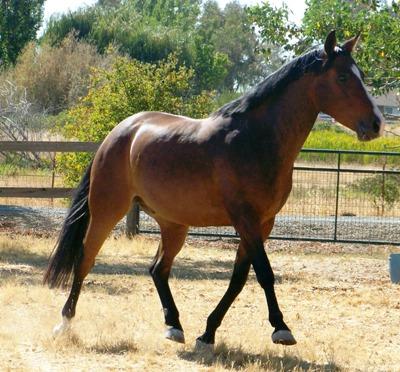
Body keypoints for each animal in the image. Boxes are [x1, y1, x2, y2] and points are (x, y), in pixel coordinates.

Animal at [43, 30, 384, 348]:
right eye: (342, 76)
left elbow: (239, 279)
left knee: (158, 269)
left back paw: (174, 326)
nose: (377, 123)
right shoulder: (246, 220)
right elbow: (264, 273)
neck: (254, 139)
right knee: (85, 259)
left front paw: (208, 333)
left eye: (360, 75)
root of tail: (119, 132)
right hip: (107, 210)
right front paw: (281, 328)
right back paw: (64, 323)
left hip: (174, 224)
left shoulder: (263, 223)